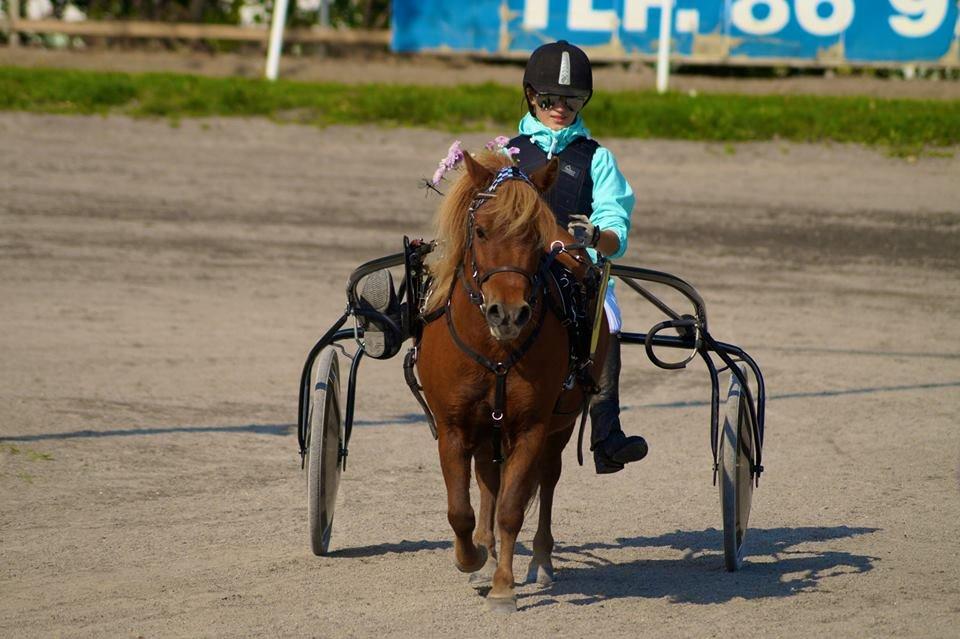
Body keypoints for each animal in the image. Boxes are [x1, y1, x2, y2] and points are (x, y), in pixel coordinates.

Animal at [418, 151, 608, 616]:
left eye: (536, 234)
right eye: (481, 229)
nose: (508, 313)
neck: (497, 347)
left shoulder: (530, 427)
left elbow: (511, 508)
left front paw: (503, 587)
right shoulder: (453, 426)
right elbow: (460, 511)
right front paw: (472, 558)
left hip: (557, 426)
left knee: (548, 478)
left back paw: (540, 559)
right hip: (489, 429)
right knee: (488, 477)